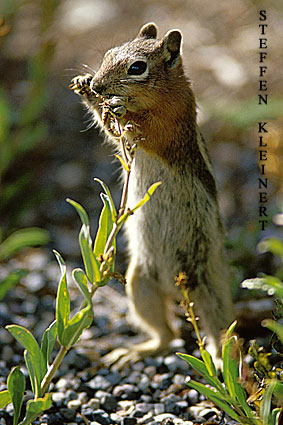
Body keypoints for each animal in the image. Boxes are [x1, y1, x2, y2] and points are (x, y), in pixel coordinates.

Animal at [70, 22, 234, 364]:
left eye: (137, 68)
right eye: (108, 53)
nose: (99, 83)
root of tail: (176, 290)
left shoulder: (171, 121)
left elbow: (145, 127)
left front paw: (117, 105)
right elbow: (111, 130)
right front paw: (85, 87)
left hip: (207, 287)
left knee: (220, 330)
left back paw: (221, 359)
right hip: (140, 285)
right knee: (166, 334)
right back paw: (134, 352)